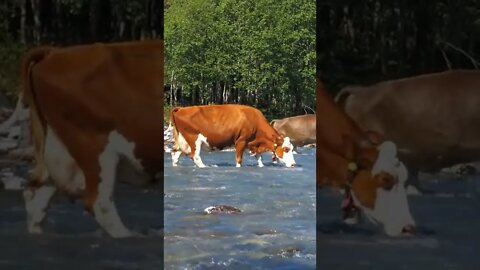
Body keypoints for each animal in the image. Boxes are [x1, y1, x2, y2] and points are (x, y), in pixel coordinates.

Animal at [20, 40, 165, 238]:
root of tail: (54, 52)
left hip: (56, 151)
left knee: (36, 194)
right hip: (94, 147)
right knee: (98, 203)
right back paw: (130, 236)